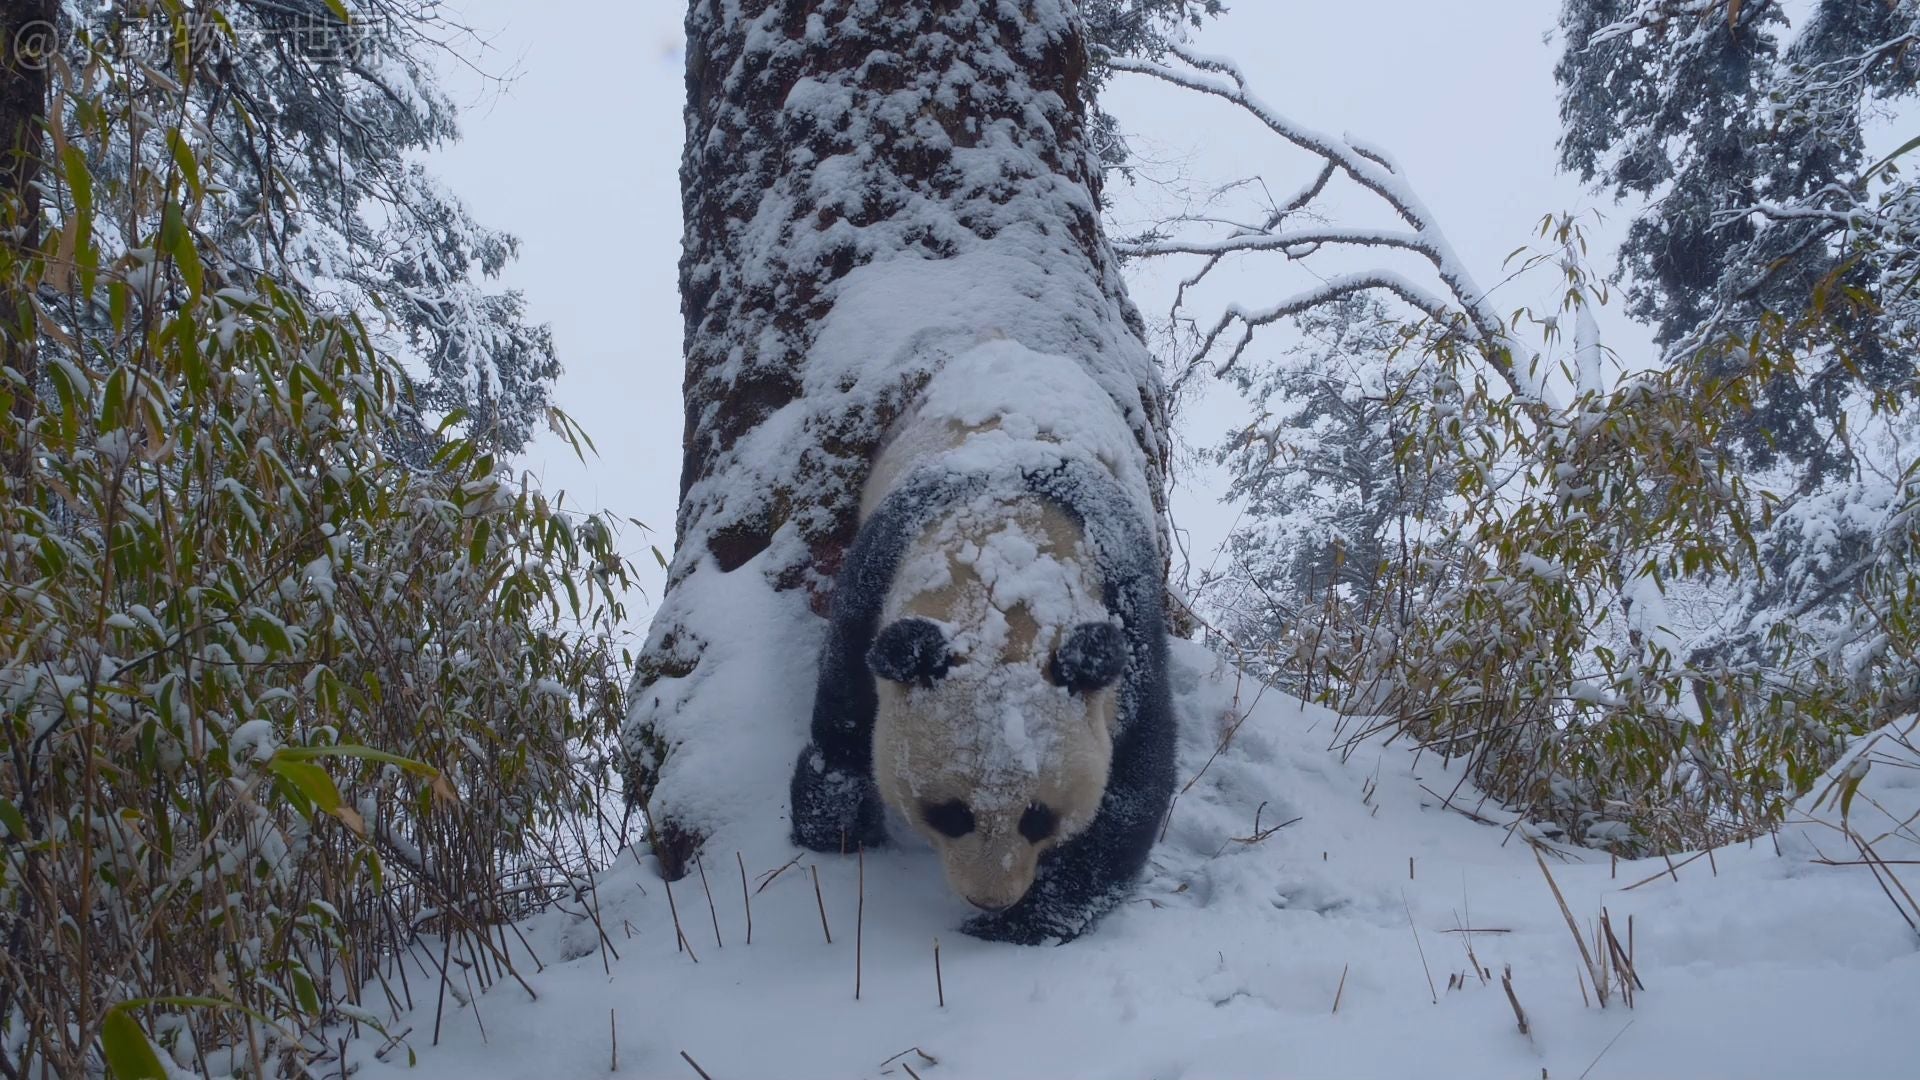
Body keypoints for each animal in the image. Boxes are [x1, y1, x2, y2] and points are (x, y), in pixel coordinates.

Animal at [789, 367, 1175, 945]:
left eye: (1039, 817)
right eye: (950, 814)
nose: (990, 898)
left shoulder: (1130, 615)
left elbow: (1130, 790)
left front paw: (1016, 925)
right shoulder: (880, 570)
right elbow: (847, 710)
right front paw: (833, 826)